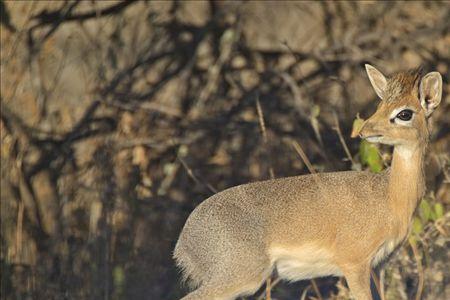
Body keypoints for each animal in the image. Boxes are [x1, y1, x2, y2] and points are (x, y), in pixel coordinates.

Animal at [172, 64, 442, 298]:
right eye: (381, 105)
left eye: (404, 113)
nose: (365, 130)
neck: (390, 196)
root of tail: (184, 241)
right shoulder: (354, 264)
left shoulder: (378, 265)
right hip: (240, 277)